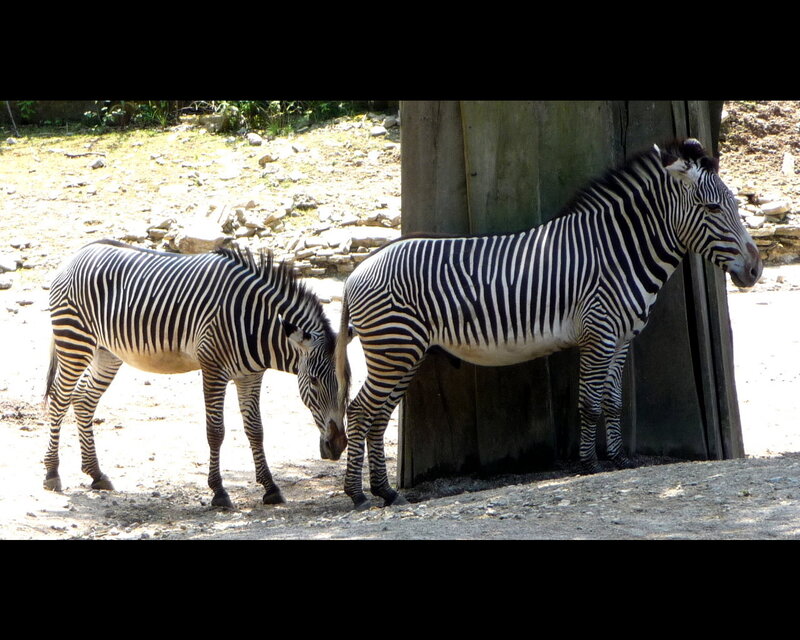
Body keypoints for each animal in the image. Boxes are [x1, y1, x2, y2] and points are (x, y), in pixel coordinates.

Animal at [43, 239, 347, 509]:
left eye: (347, 383)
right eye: (314, 382)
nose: (338, 445)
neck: (255, 323)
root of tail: (79, 252)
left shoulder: (250, 375)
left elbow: (256, 430)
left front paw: (270, 488)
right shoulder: (213, 368)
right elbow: (216, 431)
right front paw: (219, 492)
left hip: (107, 352)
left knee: (83, 400)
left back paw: (95, 473)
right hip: (74, 340)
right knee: (59, 399)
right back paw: (52, 473)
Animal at [334, 138, 763, 510]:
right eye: (712, 209)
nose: (756, 270)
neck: (619, 252)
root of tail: (357, 271)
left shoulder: (622, 338)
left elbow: (613, 401)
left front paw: (619, 460)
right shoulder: (598, 334)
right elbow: (589, 402)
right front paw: (589, 465)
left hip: (402, 353)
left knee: (377, 416)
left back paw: (386, 492)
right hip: (394, 350)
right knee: (359, 412)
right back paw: (357, 495)